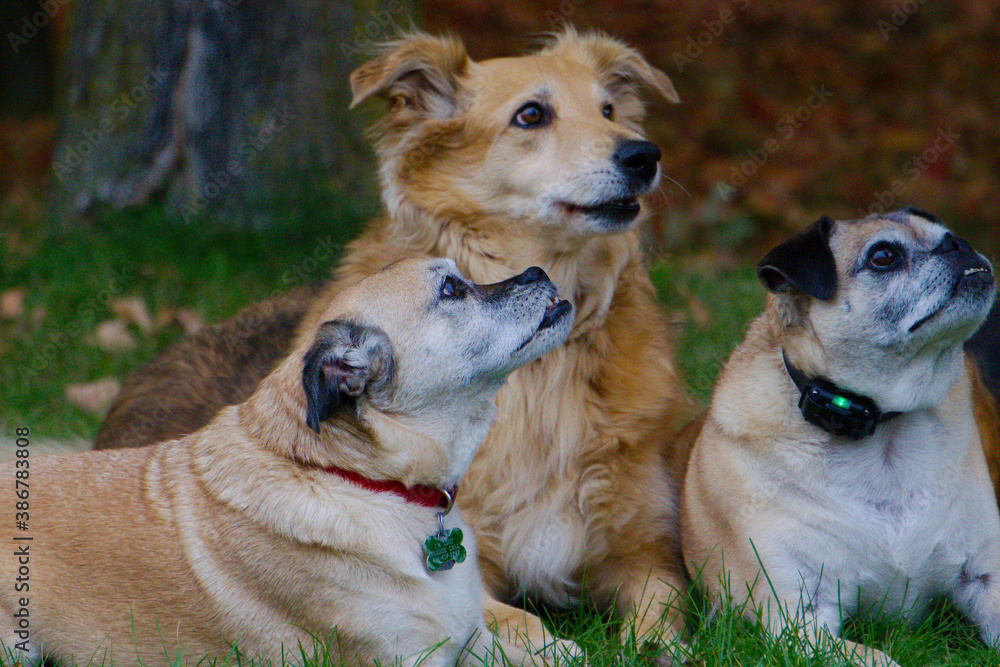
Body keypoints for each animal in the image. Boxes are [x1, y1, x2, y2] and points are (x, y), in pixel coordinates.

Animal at [94, 27, 696, 656]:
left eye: (608, 110)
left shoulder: (645, 553)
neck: (539, 378)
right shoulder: (461, 568)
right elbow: (517, 622)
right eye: (531, 114)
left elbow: (661, 619)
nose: (643, 155)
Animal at [684, 206, 1000, 664]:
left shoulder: (986, 578)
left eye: (949, 235)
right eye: (883, 257)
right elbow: (880, 658)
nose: (956, 244)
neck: (885, 430)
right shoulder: (800, 620)